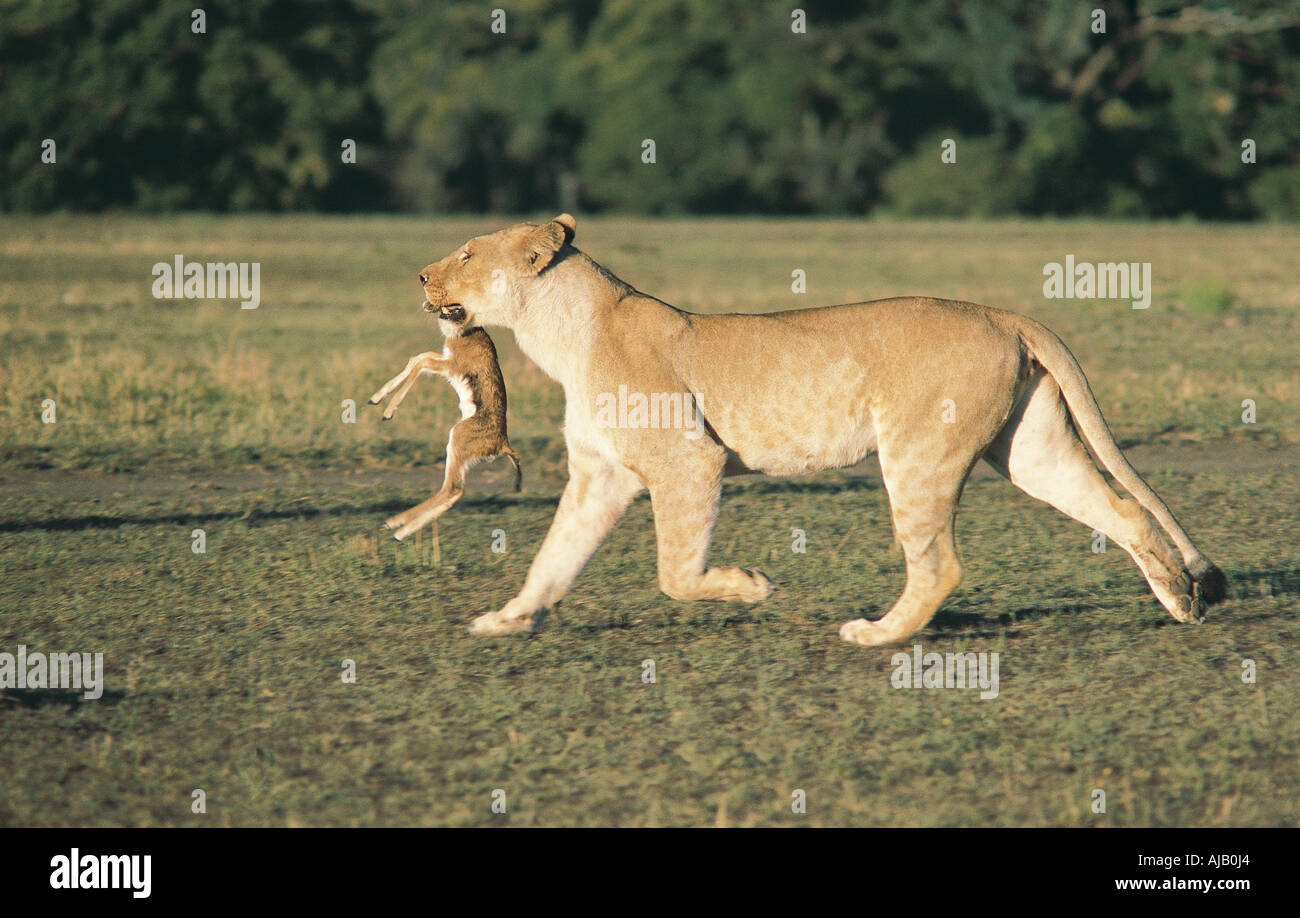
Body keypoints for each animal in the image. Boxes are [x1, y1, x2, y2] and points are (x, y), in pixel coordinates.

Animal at [408, 214, 1226, 645]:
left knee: (940, 565)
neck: (562, 334)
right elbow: (553, 557)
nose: (420, 276)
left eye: (468, 253)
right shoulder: (599, 475)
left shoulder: (688, 459)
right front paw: (508, 618)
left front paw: (750, 587)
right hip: (1029, 447)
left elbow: (675, 573)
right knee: (1121, 509)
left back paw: (879, 634)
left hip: (916, 452)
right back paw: (1179, 600)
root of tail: (1000, 312)